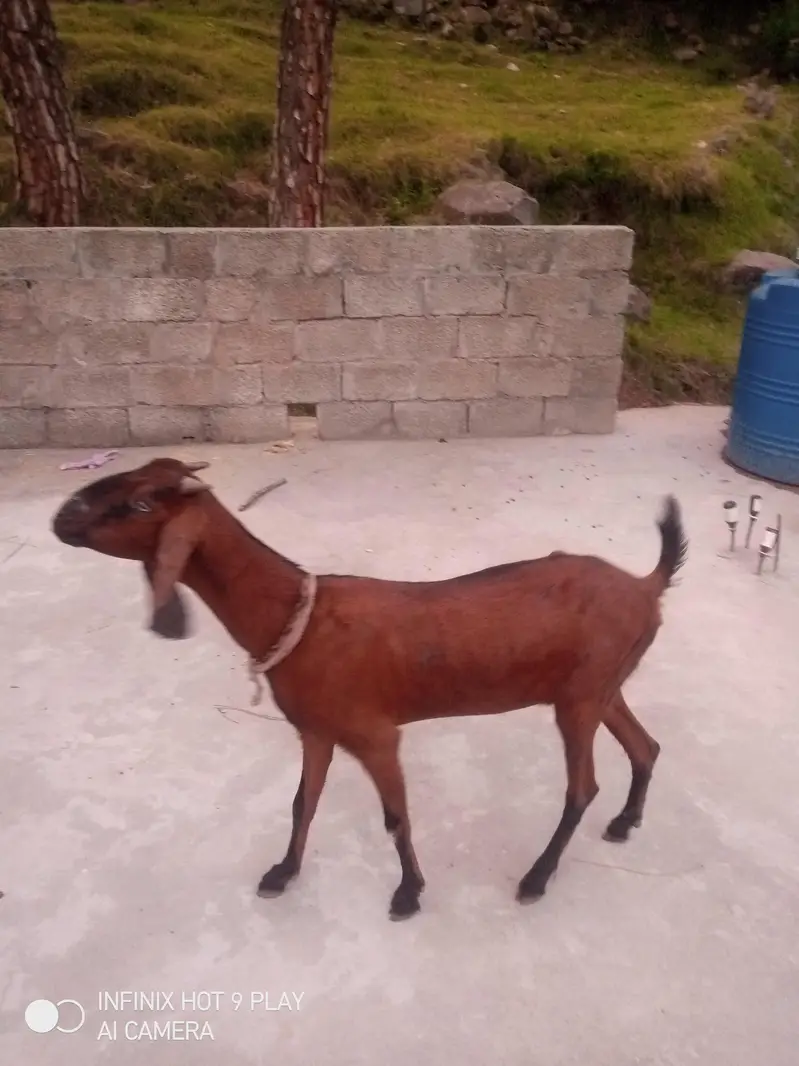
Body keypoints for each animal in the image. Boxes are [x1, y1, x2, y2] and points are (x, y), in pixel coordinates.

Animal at [51, 457, 687, 921]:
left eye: (139, 503)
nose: (62, 516)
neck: (298, 617)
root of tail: (646, 584)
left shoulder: (376, 736)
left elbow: (395, 817)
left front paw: (408, 893)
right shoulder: (315, 731)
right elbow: (302, 802)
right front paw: (283, 872)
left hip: (579, 699)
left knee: (583, 787)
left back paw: (536, 877)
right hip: (599, 687)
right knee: (646, 746)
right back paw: (625, 823)